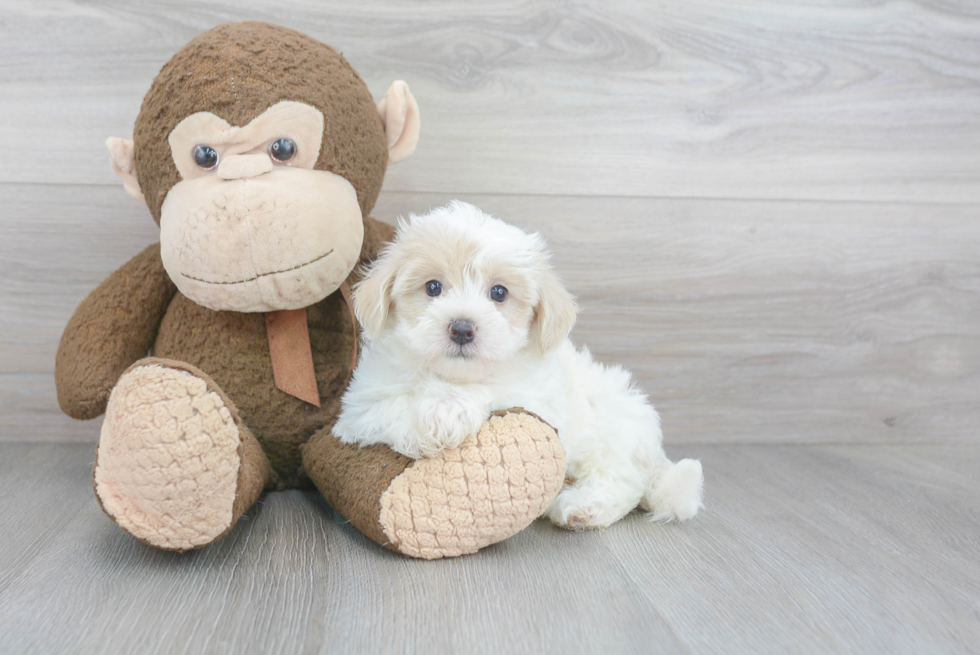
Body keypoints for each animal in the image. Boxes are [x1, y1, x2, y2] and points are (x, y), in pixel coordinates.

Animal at [336, 202, 704, 532]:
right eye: (433, 287)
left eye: (499, 293)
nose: (462, 328)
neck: (450, 375)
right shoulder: (360, 406)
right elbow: (390, 407)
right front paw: (434, 422)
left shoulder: (532, 396)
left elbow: (492, 390)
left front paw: (447, 408)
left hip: (612, 432)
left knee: (623, 481)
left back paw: (582, 507)